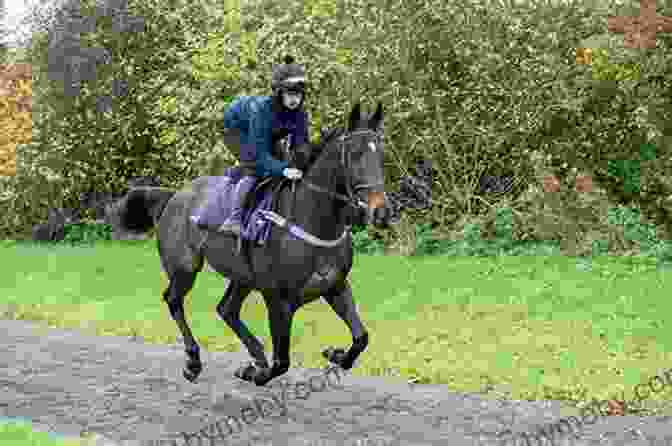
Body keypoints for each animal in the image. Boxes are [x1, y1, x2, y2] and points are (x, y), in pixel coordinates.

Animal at [114, 101, 388, 386]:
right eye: (355, 154)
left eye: (381, 154)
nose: (381, 212)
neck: (311, 218)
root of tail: (174, 195)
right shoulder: (277, 299)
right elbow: (281, 362)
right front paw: (256, 373)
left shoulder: (335, 286)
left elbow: (361, 337)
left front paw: (335, 353)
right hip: (184, 267)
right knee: (174, 300)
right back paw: (193, 361)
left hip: (242, 276)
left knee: (227, 309)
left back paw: (254, 357)